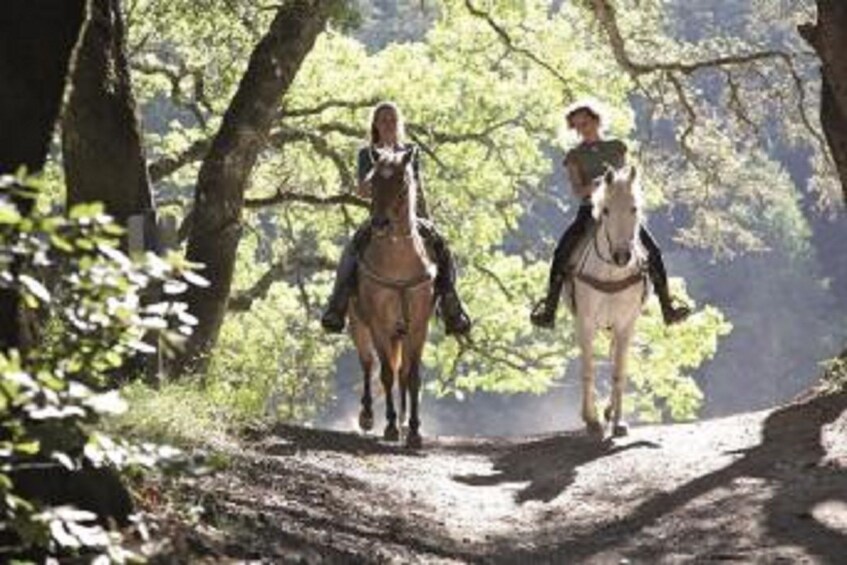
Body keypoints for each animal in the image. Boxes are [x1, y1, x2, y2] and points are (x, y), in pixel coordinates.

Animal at [346, 148, 434, 448]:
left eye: (402, 183)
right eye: (372, 182)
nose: (380, 223)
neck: (399, 264)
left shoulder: (418, 326)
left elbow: (413, 376)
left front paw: (414, 431)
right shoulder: (378, 325)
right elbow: (385, 373)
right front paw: (391, 427)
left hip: (402, 333)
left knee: (403, 373)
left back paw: (406, 422)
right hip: (359, 326)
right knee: (368, 364)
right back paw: (368, 416)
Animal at [568, 165, 648, 438]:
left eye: (634, 208)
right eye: (605, 210)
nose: (622, 256)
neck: (612, 273)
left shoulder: (626, 324)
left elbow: (619, 372)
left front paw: (619, 422)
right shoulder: (585, 322)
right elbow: (588, 369)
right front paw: (590, 420)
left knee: (615, 360)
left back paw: (610, 412)